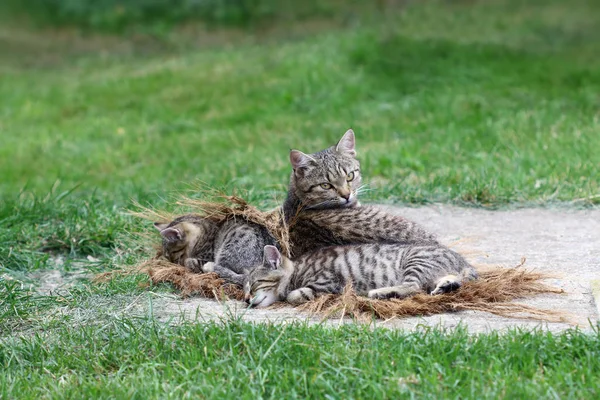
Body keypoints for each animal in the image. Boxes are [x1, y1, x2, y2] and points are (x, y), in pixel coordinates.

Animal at [244, 242, 478, 308]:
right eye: (244, 289)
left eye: (254, 285)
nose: (246, 299)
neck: (297, 269)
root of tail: (463, 261)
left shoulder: (328, 282)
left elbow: (294, 295)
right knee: (450, 282)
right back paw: (446, 286)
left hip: (416, 262)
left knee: (413, 286)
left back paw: (381, 293)